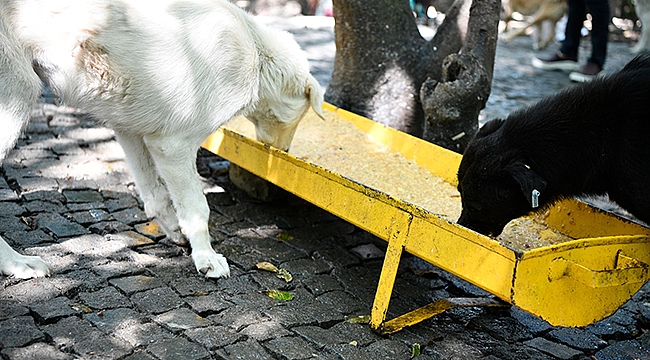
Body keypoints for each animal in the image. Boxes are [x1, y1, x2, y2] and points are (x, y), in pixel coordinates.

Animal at [0, 0, 324, 278]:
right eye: (302, 116)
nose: (285, 150)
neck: (255, 53)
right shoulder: (174, 146)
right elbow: (197, 208)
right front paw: (206, 258)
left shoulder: (131, 130)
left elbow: (155, 196)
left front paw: (176, 232)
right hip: (19, 92)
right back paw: (17, 263)